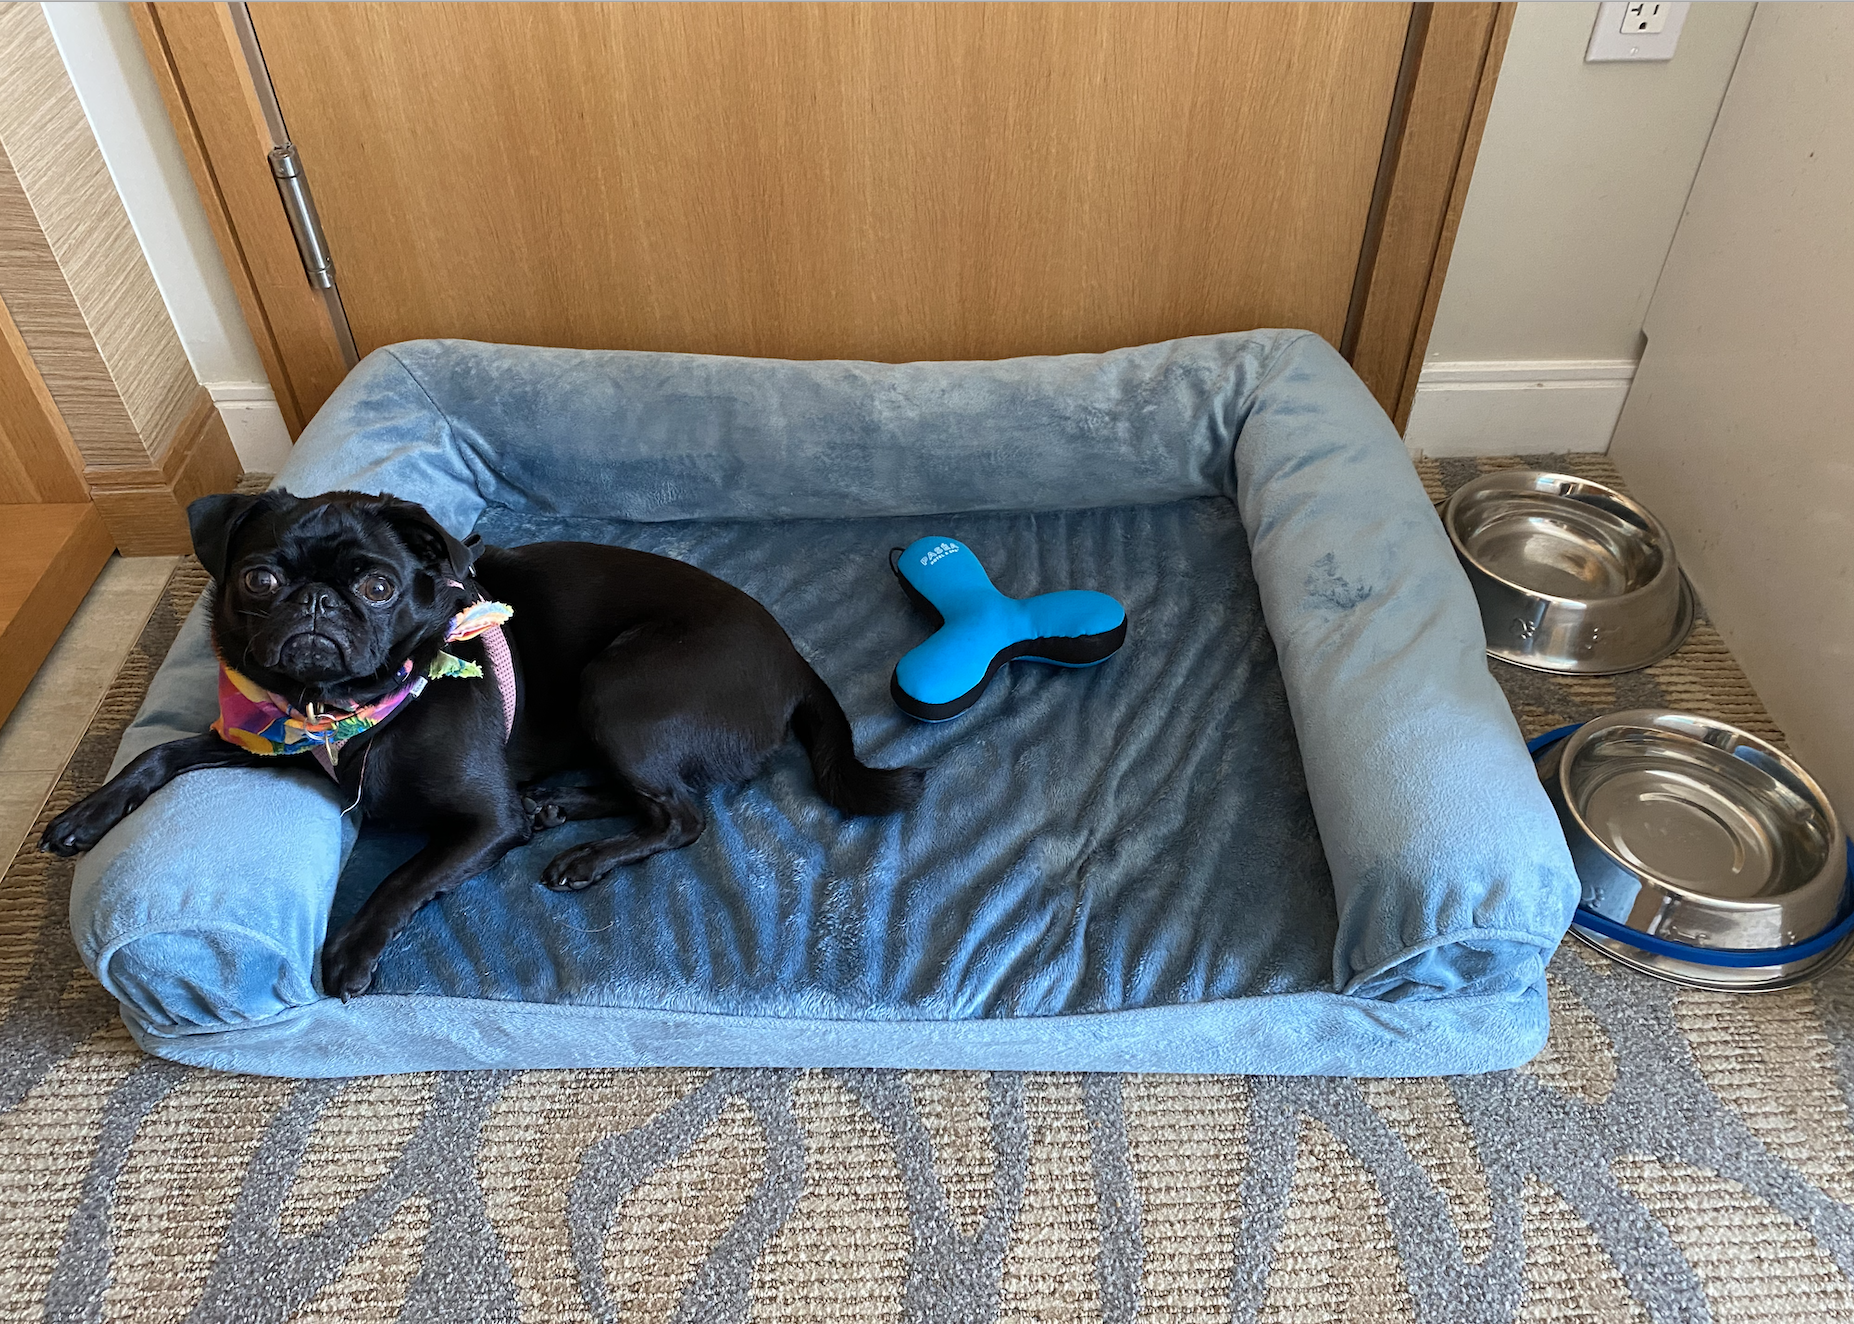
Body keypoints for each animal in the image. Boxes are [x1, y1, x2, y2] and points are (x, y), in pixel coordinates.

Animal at [47, 489, 927, 993]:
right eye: (259, 579)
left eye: (378, 586)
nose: (319, 606)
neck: (342, 708)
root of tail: (794, 661)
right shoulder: (270, 732)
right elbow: (160, 751)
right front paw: (86, 814)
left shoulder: (479, 822)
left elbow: (402, 877)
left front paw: (352, 950)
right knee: (647, 797)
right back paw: (556, 808)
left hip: (618, 687)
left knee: (680, 815)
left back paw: (584, 854)